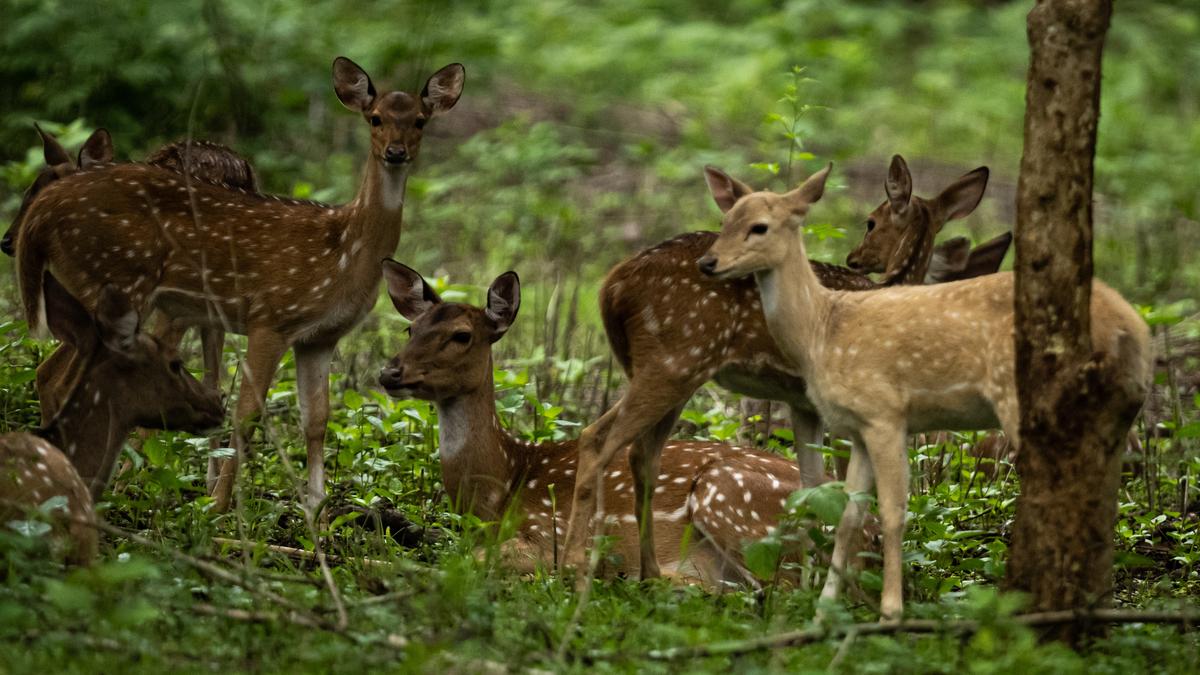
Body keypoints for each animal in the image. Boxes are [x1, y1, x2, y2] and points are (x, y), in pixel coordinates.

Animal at [15, 57, 465, 513]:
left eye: (420, 120)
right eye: (375, 118)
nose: (396, 152)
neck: (343, 251)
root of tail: (42, 214)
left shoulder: (320, 337)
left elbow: (317, 420)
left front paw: (317, 511)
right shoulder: (271, 316)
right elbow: (247, 413)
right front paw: (217, 506)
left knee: (52, 373)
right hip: (115, 283)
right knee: (57, 375)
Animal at [376, 259, 816, 585]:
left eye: (462, 335)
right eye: (410, 328)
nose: (390, 372)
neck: (501, 485)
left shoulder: (548, 533)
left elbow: (467, 559)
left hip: (728, 499)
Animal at [562, 155, 1004, 580]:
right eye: (871, 220)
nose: (856, 259)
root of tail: (611, 285)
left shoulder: (805, 403)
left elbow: (814, 488)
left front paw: (809, 580)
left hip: (668, 369)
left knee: (641, 455)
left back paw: (649, 574)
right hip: (674, 360)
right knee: (598, 439)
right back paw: (577, 567)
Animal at [695, 163, 1152, 621]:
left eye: (759, 226)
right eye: (726, 219)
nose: (708, 262)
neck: (822, 329)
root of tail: (1133, 324)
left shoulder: (885, 413)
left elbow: (894, 512)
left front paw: (890, 613)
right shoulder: (859, 428)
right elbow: (848, 515)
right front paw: (824, 612)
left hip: (1022, 395)